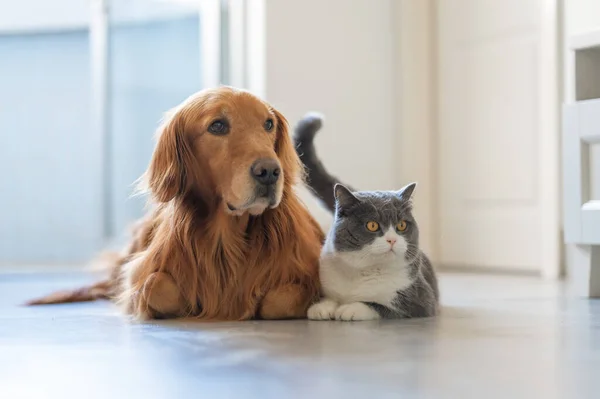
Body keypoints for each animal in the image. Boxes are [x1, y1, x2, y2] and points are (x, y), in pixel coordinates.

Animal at [296, 113, 440, 322]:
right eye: (372, 225)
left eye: (402, 225)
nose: (391, 240)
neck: (365, 272)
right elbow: (329, 297)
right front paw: (322, 307)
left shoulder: (421, 302)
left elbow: (377, 305)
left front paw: (349, 308)